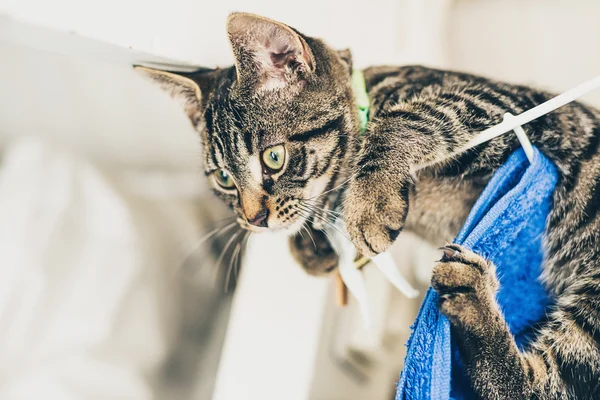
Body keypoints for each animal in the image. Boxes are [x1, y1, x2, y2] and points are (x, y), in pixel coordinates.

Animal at [138, 12, 600, 400]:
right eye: (224, 179)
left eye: (274, 158)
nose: (253, 220)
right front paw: (315, 245)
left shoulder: (509, 105)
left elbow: (403, 120)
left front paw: (369, 204)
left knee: (545, 384)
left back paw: (473, 301)